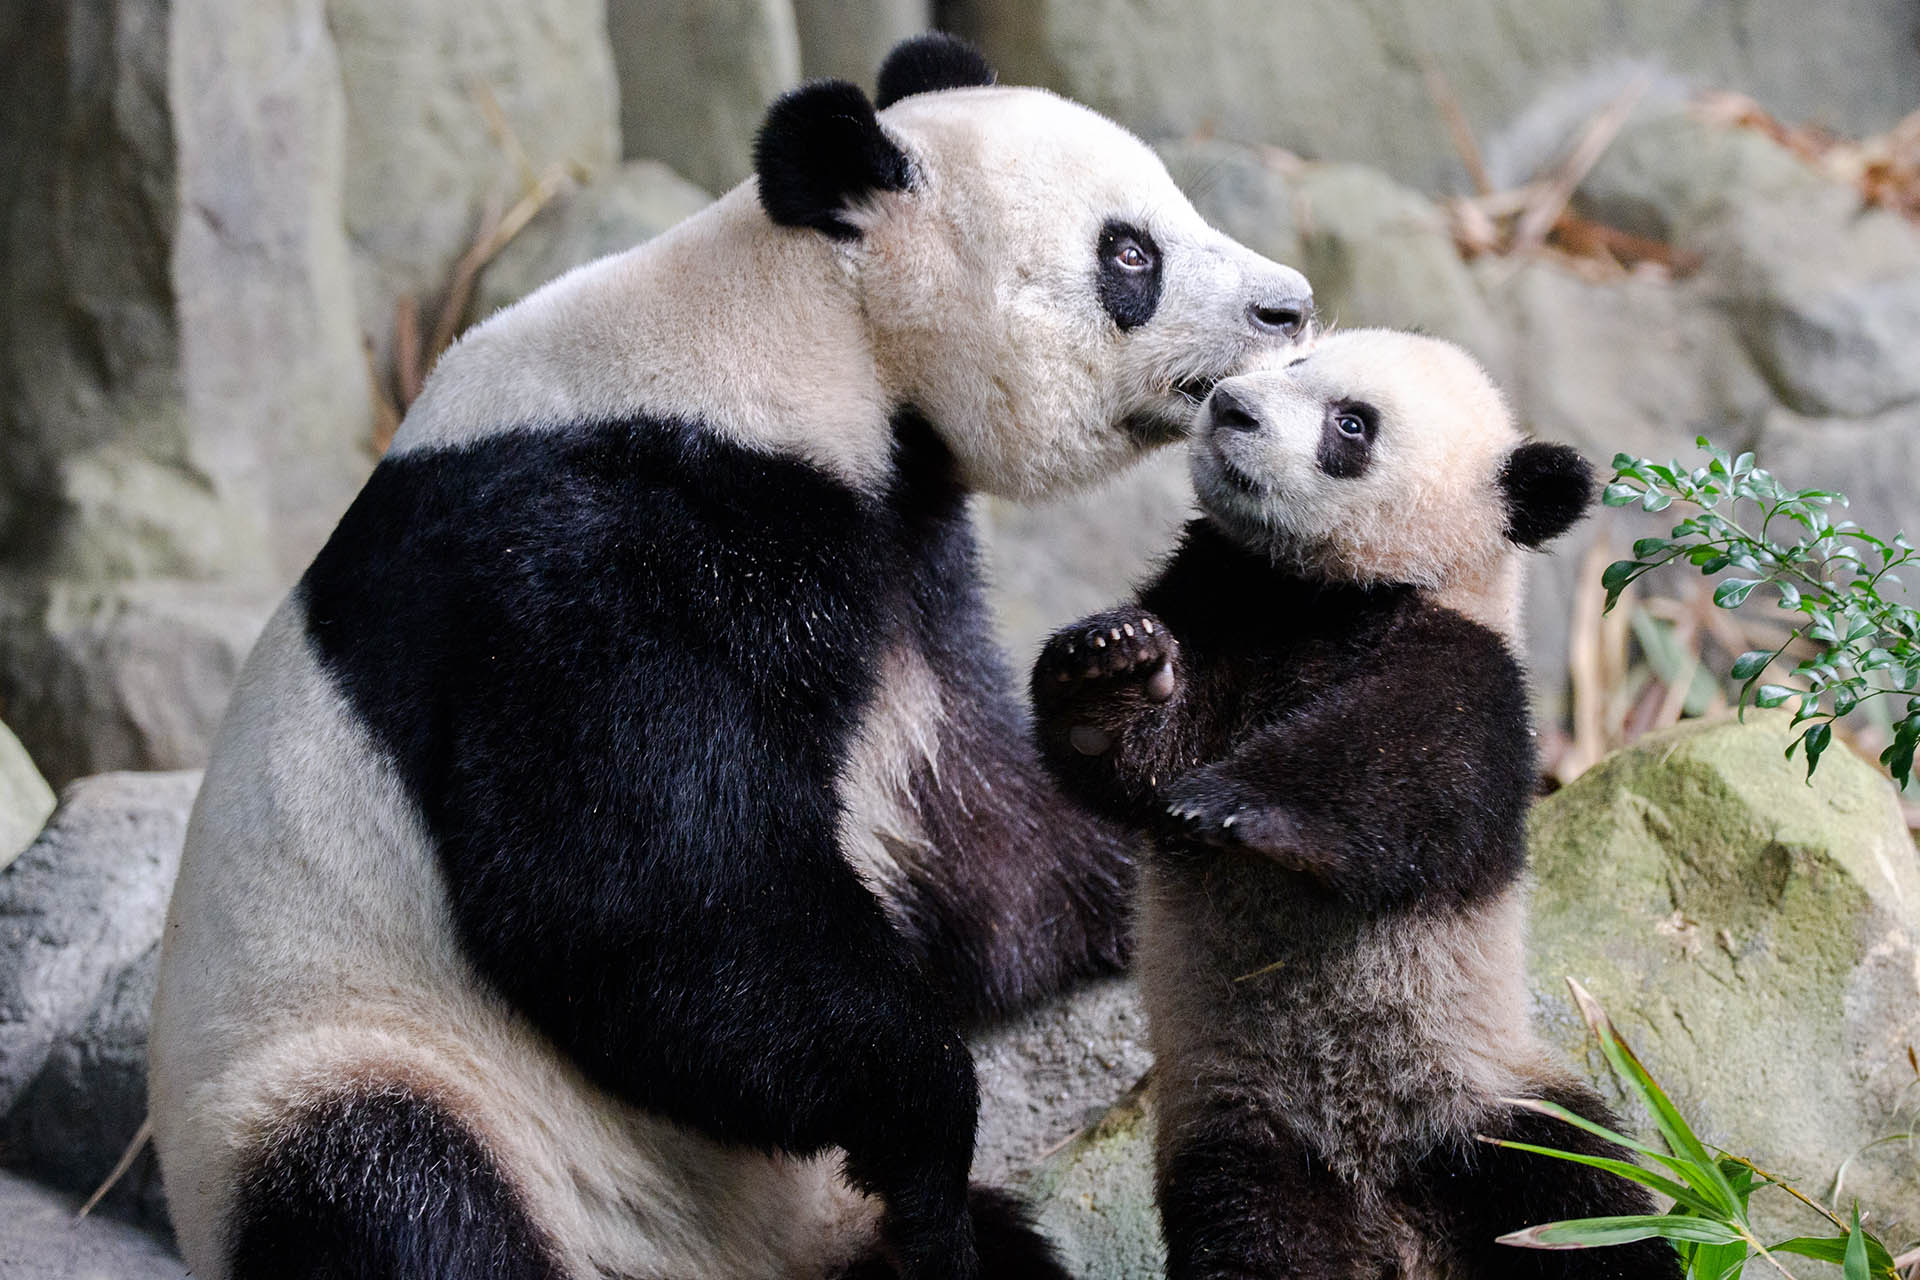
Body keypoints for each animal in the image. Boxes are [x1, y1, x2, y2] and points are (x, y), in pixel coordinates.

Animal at [149, 29, 1313, 1280]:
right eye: (1129, 252)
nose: (1290, 308)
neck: (802, 329)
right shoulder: (595, 553)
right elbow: (642, 895)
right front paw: (925, 1125)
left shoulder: (897, 559)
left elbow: (977, 823)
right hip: (365, 1072)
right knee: (401, 1192)